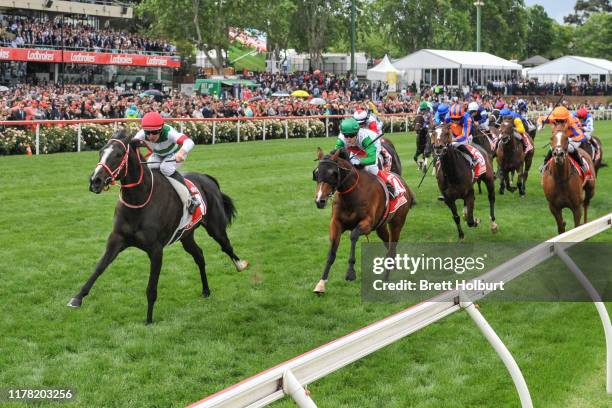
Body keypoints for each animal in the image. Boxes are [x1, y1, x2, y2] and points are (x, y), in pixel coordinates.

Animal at [67, 129, 246, 324]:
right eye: (101, 152)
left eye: (119, 154)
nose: (95, 181)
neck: (139, 201)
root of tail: (207, 178)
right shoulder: (117, 239)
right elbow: (99, 267)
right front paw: (77, 298)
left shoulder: (156, 249)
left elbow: (151, 287)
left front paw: (149, 319)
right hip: (186, 236)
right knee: (199, 255)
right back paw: (206, 290)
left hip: (216, 228)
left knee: (226, 246)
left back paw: (240, 265)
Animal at [310, 147, 416, 294]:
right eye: (316, 173)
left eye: (332, 173)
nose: (320, 200)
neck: (352, 194)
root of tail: (405, 185)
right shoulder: (336, 224)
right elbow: (331, 253)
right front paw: (321, 284)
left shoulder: (367, 223)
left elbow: (353, 235)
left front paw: (350, 273)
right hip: (381, 226)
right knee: (388, 244)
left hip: (397, 222)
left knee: (392, 248)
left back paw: (385, 278)